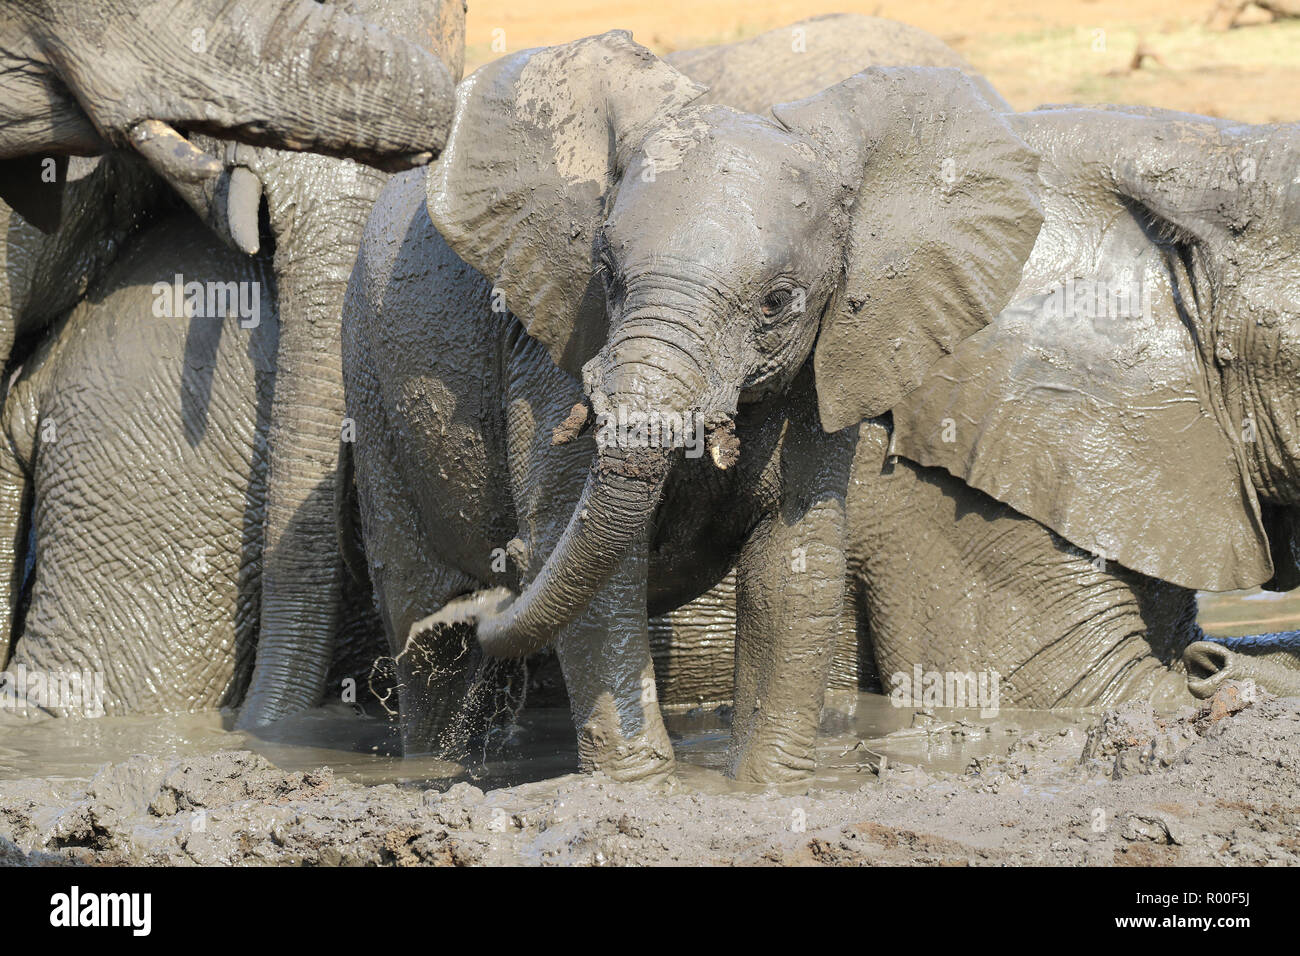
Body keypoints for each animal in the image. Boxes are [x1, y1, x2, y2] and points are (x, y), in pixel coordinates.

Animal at [340, 31, 1040, 785]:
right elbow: (584, 551)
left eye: (778, 302)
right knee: (424, 638)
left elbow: (793, 563)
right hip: (370, 380)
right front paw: (640, 789)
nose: (508, 567)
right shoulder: (550, 339)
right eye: (607, 273)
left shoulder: (828, 360)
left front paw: (763, 790)